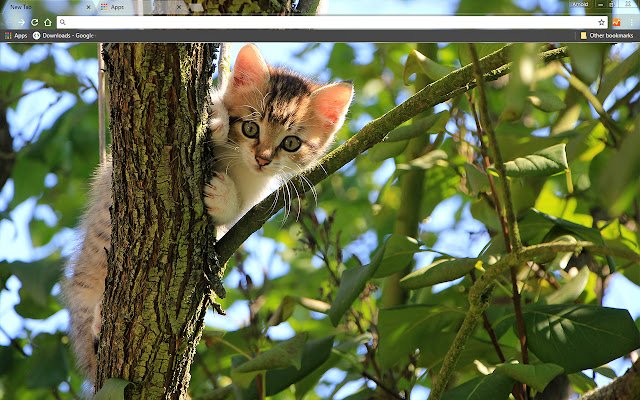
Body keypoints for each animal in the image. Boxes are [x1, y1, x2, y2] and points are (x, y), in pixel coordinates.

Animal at [62, 43, 356, 384]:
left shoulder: (253, 197)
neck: (239, 163)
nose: (263, 159)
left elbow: (234, 212)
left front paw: (222, 196)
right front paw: (217, 121)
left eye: (291, 143)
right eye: (250, 127)